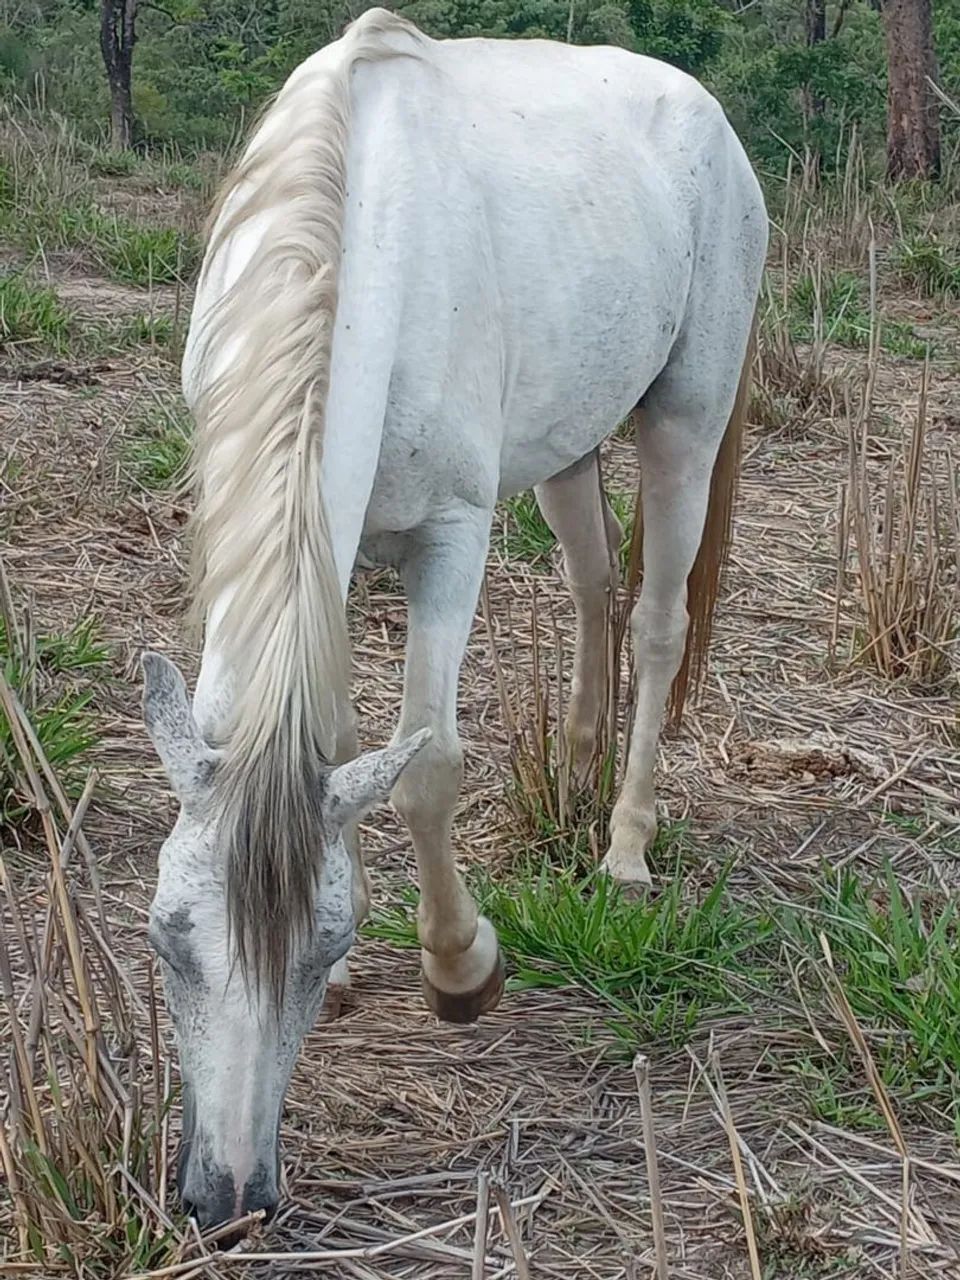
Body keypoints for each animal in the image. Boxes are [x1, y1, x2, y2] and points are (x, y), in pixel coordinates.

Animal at [142, 7, 766, 1229]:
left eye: (317, 939)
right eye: (169, 940)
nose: (229, 1196)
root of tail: (707, 112)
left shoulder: (451, 537)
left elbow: (425, 766)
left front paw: (460, 968)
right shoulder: (326, 558)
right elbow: (338, 745)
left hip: (686, 417)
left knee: (658, 619)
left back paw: (625, 846)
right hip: (568, 445)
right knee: (594, 586)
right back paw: (573, 768)